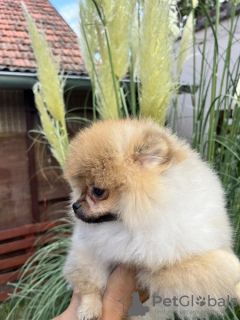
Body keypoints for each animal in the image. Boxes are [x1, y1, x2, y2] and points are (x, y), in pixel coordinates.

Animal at [63, 119, 240, 318]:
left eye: (98, 191)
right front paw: (89, 308)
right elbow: (90, 285)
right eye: (80, 189)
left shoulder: (171, 256)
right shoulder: (90, 252)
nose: (75, 205)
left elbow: (214, 265)